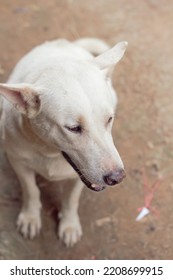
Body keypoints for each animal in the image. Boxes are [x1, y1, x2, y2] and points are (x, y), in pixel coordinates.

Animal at [0, 38, 127, 246]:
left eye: (109, 119)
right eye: (74, 128)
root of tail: (66, 43)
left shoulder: (79, 177)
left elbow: (71, 200)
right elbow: (31, 190)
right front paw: (30, 217)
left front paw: (69, 225)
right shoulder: (17, 161)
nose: (117, 178)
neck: (49, 151)